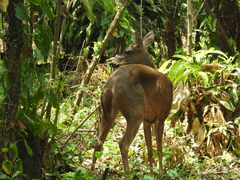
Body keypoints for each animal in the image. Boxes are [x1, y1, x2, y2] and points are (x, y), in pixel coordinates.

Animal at [91, 30, 172, 177]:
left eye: (127, 51)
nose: (112, 63)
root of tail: (111, 86)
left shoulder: (148, 119)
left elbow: (149, 148)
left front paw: (151, 173)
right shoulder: (162, 115)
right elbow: (159, 146)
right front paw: (161, 173)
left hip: (108, 112)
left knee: (99, 141)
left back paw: (91, 171)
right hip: (135, 111)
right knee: (123, 144)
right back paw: (127, 174)